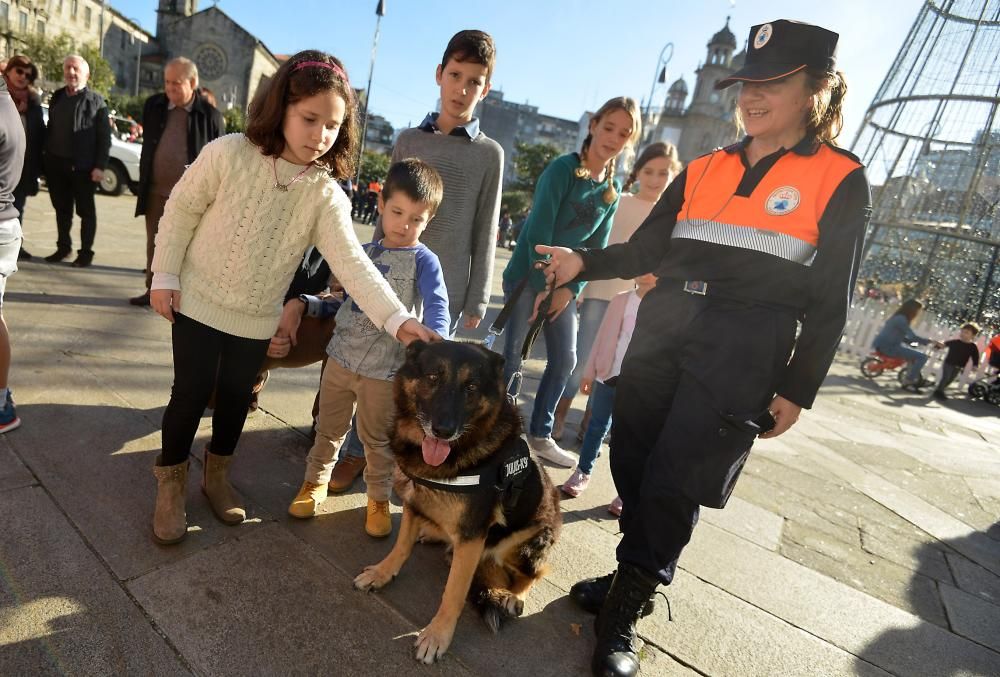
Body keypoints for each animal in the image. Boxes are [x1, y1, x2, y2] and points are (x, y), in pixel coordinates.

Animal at [354, 338, 564, 660]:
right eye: (432, 377)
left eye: (472, 387)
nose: (443, 431)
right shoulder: (414, 502)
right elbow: (400, 547)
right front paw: (382, 573)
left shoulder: (473, 534)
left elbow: (453, 592)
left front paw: (437, 635)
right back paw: (432, 534)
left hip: (528, 537)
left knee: (533, 573)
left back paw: (513, 596)